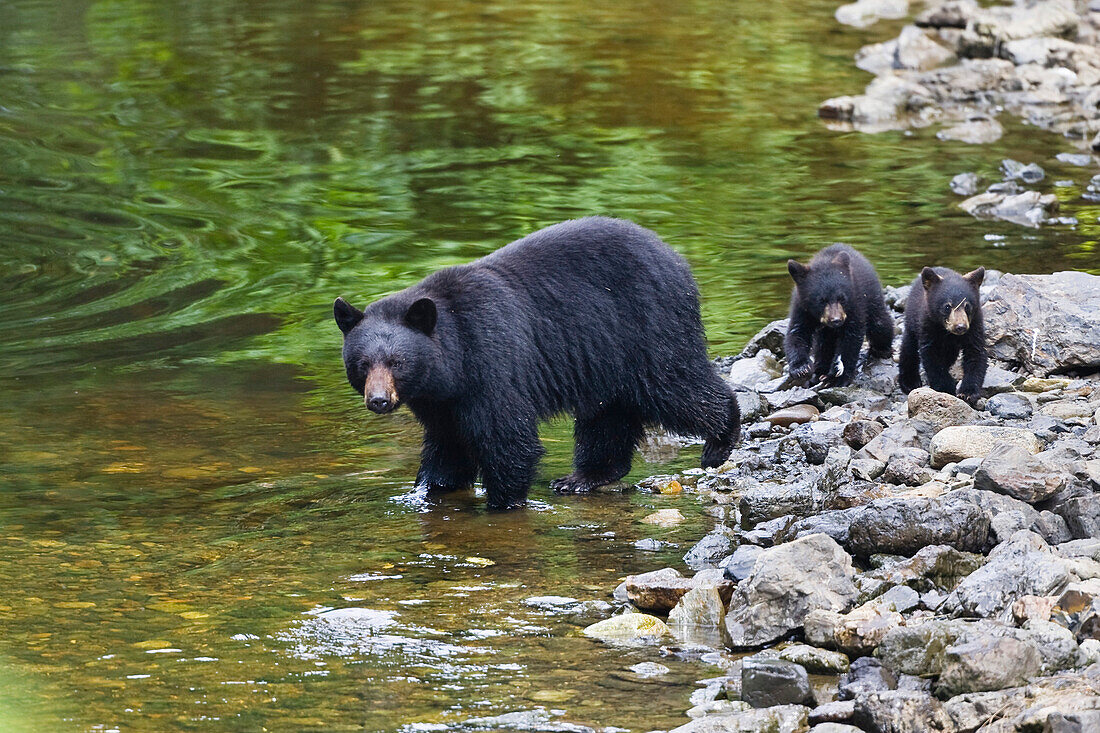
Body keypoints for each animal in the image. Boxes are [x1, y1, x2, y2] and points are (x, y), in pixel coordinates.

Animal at [332, 216, 739, 508]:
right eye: (362, 364)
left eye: (397, 361)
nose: (379, 400)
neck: (454, 360)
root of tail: (676, 258)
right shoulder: (441, 401)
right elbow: (448, 447)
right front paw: (427, 489)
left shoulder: (491, 361)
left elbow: (508, 437)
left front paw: (502, 502)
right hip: (606, 359)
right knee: (607, 415)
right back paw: (583, 477)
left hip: (646, 328)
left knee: (675, 386)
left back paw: (721, 439)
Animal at [783, 242, 893, 385]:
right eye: (821, 300)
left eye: (841, 298)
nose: (836, 320)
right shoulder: (802, 307)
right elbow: (797, 332)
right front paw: (800, 368)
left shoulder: (854, 303)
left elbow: (851, 338)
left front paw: (838, 377)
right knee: (823, 343)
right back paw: (820, 370)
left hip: (872, 297)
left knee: (879, 324)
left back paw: (882, 349)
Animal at [897, 264, 985, 402]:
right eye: (947, 306)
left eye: (967, 306)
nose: (960, 327)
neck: (947, 333)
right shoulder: (928, 325)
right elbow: (932, 358)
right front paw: (945, 387)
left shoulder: (975, 325)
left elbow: (976, 354)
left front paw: (968, 392)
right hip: (912, 320)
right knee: (908, 346)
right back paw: (909, 381)